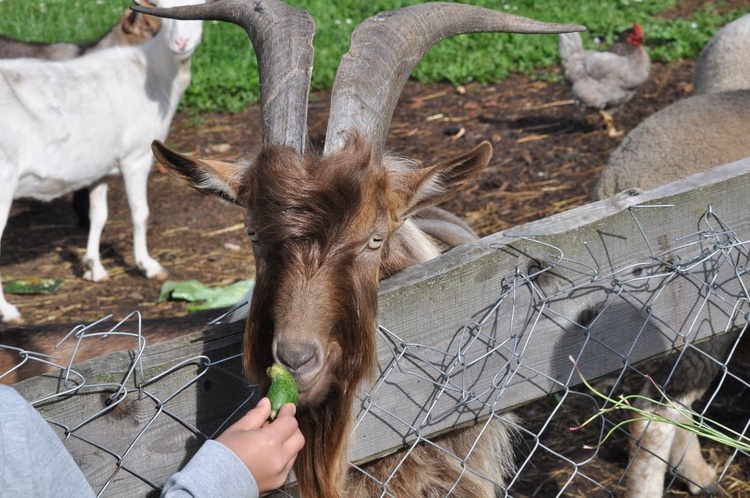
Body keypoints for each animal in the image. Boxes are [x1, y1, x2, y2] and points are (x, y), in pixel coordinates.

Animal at [0, 0, 206, 324]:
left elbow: (99, 216)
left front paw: (93, 267)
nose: (181, 44)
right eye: (162, 13)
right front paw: (148, 266)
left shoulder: (99, 168)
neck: (153, 72)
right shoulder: (136, 156)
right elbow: (140, 214)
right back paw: (9, 312)